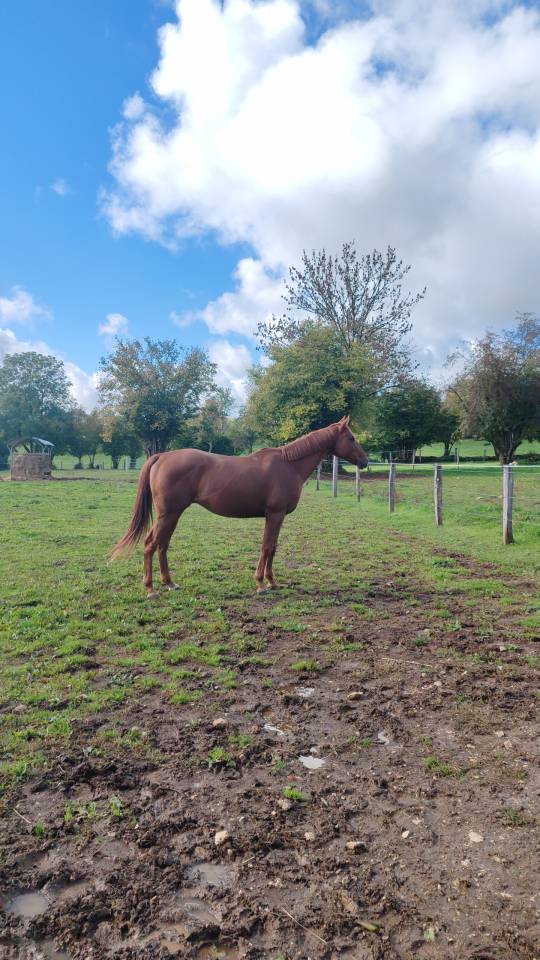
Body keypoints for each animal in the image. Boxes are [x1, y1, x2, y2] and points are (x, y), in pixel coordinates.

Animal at [111, 416, 368, 597]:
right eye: (352, 438)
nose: (365, 461)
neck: (289, 465)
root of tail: (162, 456)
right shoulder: (275, 515)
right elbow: (267, 547)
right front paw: (261, 584)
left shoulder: (276, 517)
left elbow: (272, 548)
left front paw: (272, 582)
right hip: (168, 514)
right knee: (151, 545)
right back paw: (151, 589)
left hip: (172, 515)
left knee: (162, 545)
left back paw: (170, 583)